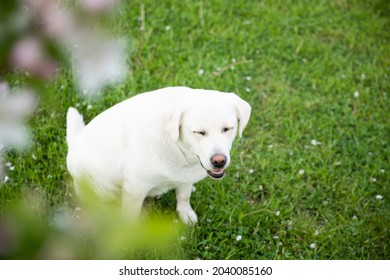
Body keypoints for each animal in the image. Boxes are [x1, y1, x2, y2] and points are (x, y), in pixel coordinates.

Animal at [66, 86, 250, 224]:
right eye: (199, 132)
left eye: (227, 128)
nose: (219, 161)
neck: (178, 149)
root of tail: (74, 142)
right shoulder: (135, 188)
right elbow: (130, 215)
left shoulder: (186, 177)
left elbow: (184, 196)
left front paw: (186, 214)